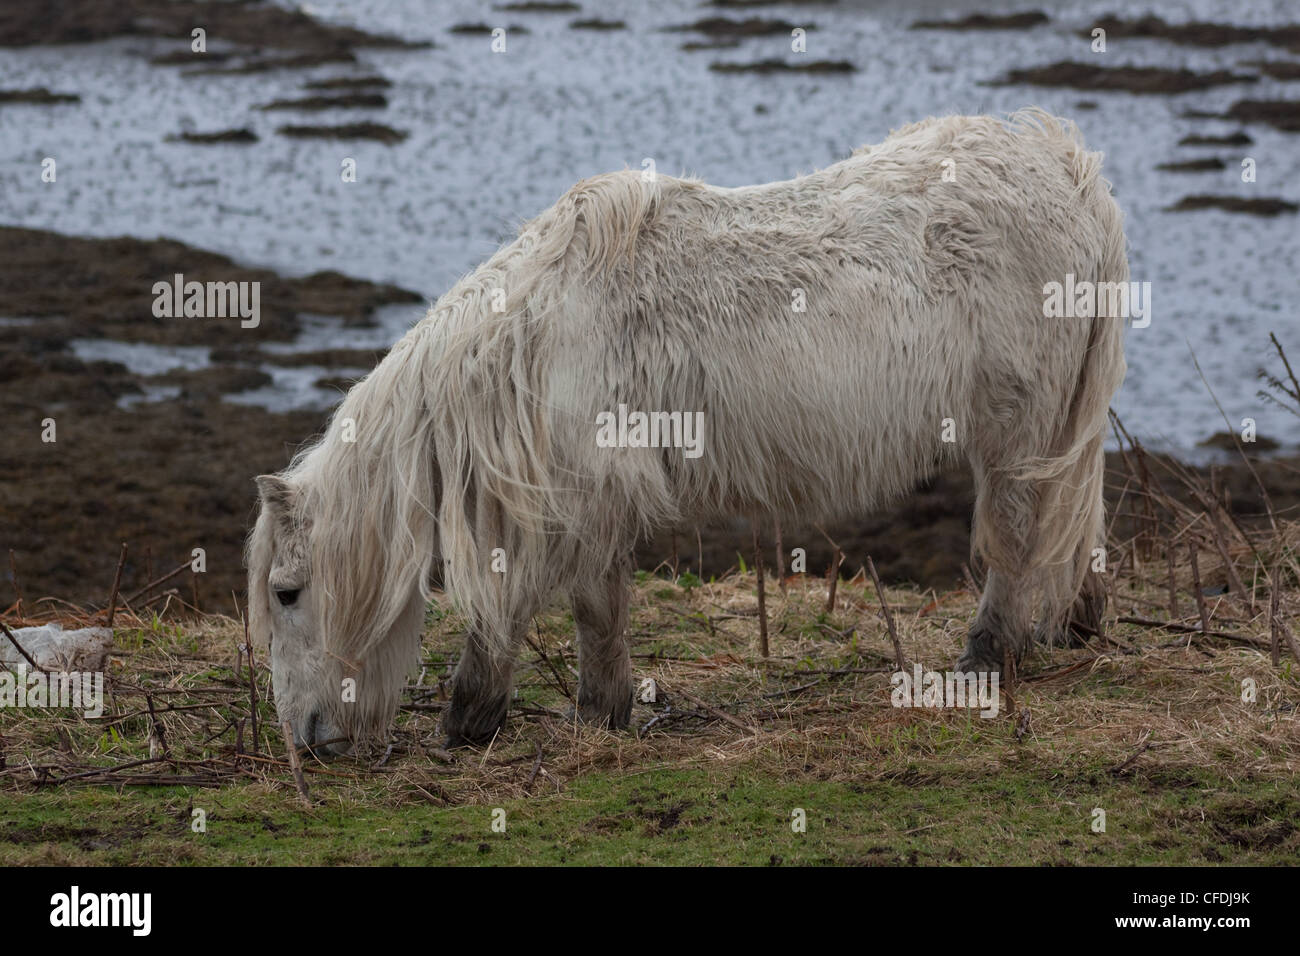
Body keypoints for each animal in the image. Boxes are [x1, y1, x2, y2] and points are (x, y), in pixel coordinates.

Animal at [245, 111, 1128, 754]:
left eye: (288, 593)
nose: (307, 742)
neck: (533, 337)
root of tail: (1070, 168)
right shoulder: (593, 502)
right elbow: (590, 606)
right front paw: (595, 713)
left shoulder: (582, 496)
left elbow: (548, 606)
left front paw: (478, 720)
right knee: (1071, 527)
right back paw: (1077, 628)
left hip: (1015, 435)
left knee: (1016, 539)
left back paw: (984, 661)